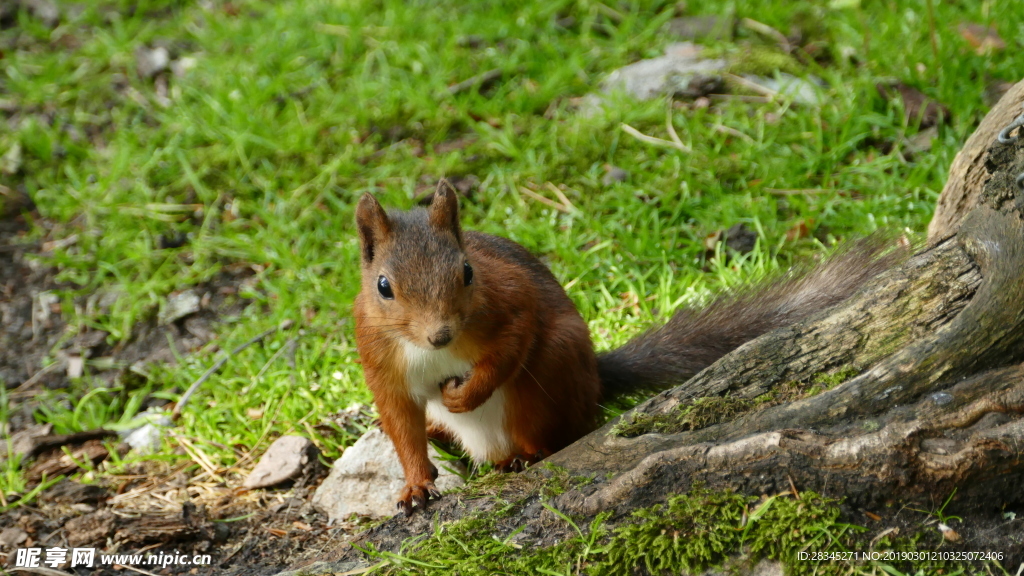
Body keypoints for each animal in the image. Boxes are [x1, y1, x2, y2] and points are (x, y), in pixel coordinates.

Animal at [356, 179, 901, 510]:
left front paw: (462, 395)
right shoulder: (380, 360)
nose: (441, 334)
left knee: (552, 426)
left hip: (552, 368)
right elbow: (401, 423)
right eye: (383, 286)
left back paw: (525, 457)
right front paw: (415, 485)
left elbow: (512, 344)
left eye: (467, 272)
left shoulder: (510, 303)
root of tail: (596, 382)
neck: (429, 350)